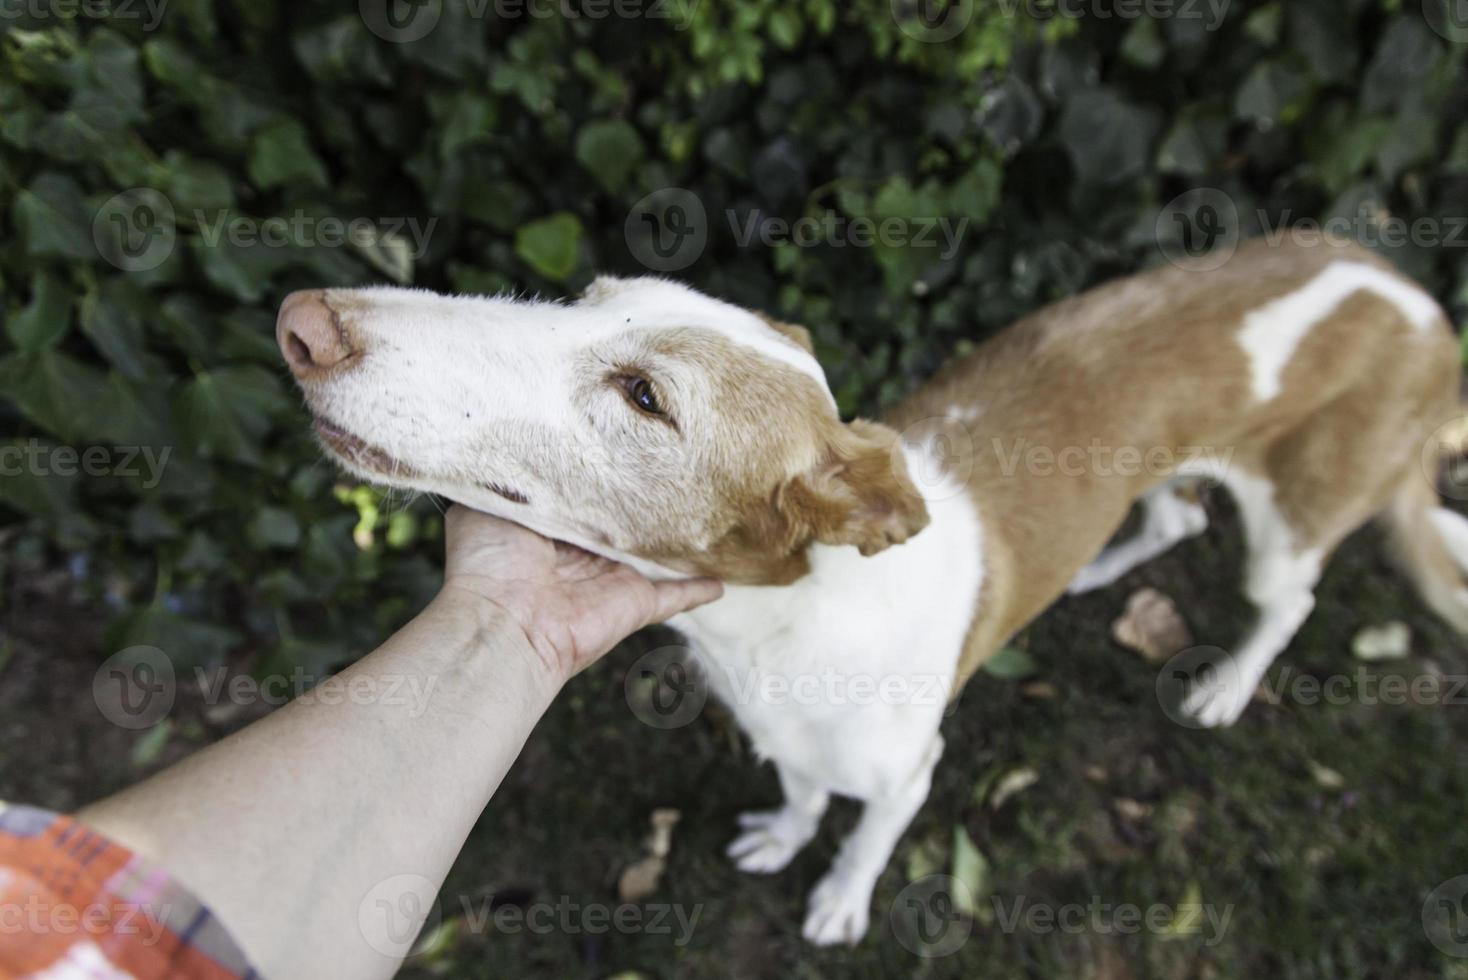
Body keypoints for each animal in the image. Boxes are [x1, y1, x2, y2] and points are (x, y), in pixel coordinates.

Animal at [275, 234, 1468, 938]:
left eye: (646, 397)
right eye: (582, 298)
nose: (303, 322)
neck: (781, 628)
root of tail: (1406, 286)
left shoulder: (908, 774)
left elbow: (864, 834)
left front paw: (841, 895)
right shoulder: (791, 737)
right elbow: (809, 798)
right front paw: (786, 833)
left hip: (1297, 516)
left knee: (1288, 600)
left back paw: (1226, 685)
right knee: (1174, 514)